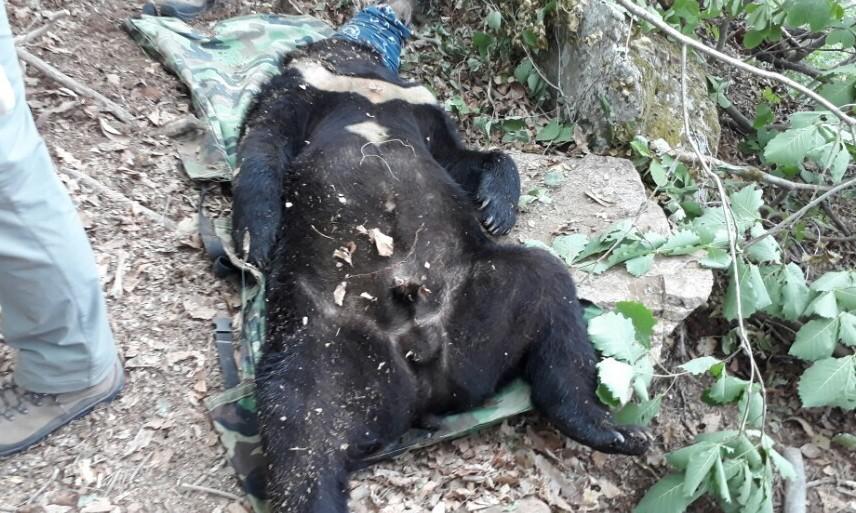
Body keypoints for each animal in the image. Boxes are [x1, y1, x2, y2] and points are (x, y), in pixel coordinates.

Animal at [231, 5, 644, 512]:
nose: (403, 11)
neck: (361, 77)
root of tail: (426, 368)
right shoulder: (302, 87)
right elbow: (262, 140)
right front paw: (255, 237)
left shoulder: (418, 106)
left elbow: (459, 157)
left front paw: (495, 208)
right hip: (318, 340)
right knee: (300, 424)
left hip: (484, 303)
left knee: (553, 305)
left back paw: (612, 431)